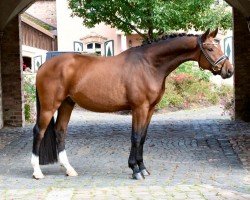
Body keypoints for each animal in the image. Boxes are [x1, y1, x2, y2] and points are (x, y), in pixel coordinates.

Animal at [31, 28, 234, 180]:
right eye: (210, 48)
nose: (229, 70)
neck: (150, 65)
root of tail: (43, 66)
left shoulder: (150, 109)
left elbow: (142, 138)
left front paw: (143, 168)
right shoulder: (139, 108)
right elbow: (135, 137)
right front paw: (135, 170)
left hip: (67, 104)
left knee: (60, 131)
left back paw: (69, 169)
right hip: (50, 107)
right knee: (39, 131)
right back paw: (37, 172)